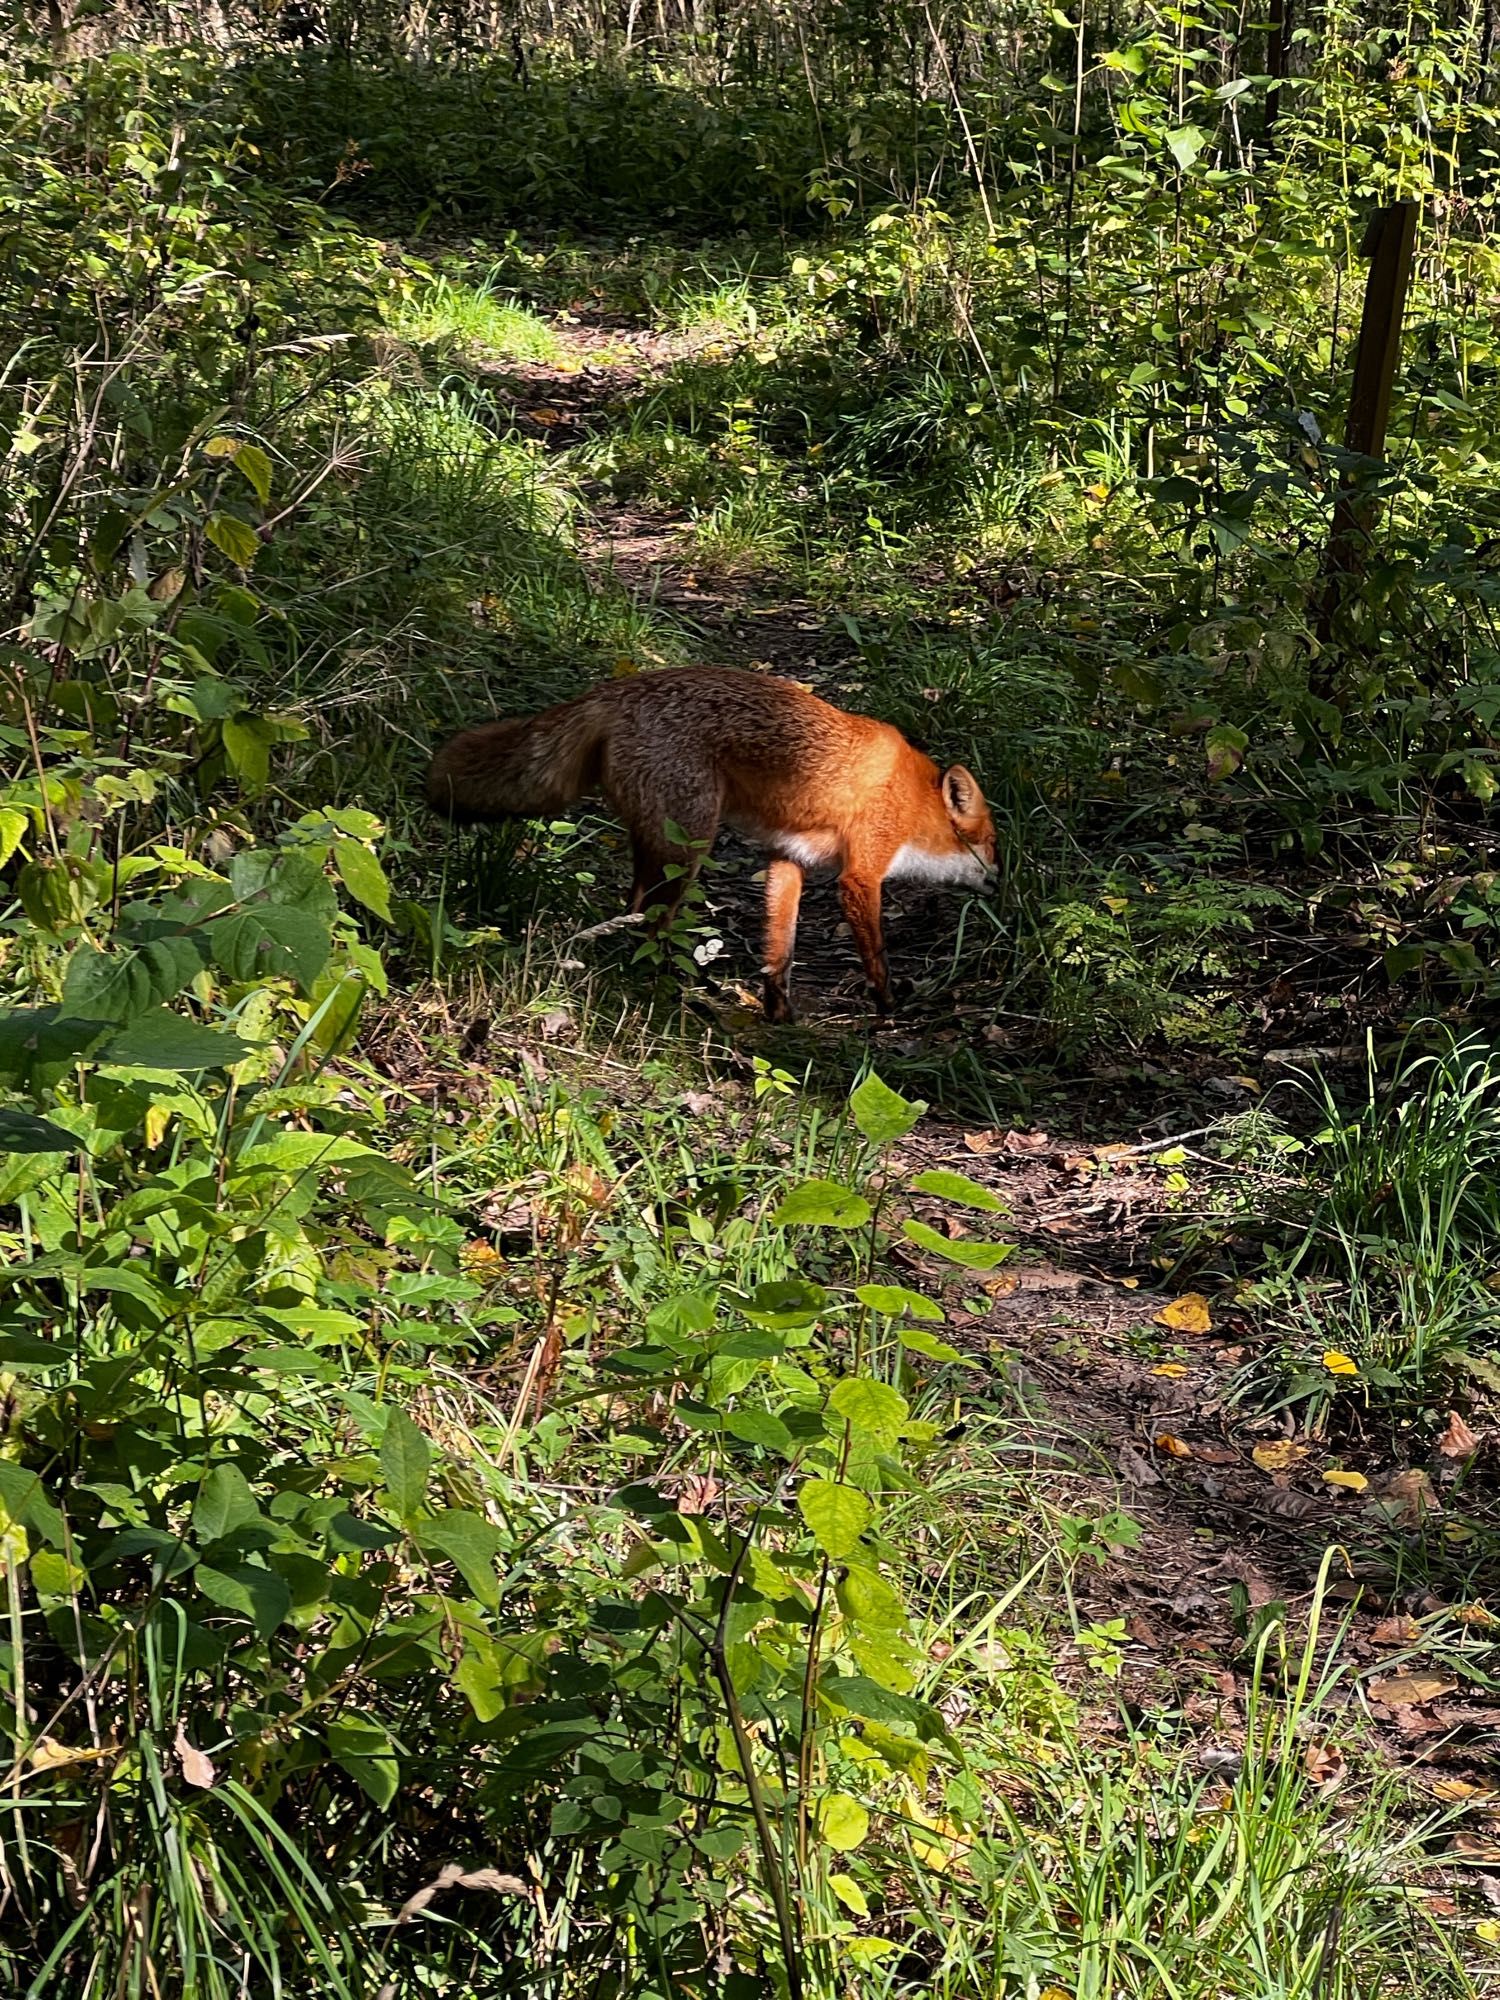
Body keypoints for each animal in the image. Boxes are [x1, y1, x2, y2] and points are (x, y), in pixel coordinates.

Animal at [426, 668, 1000, 1024]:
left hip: (659, 847)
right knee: (651, 925)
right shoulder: (860, 874)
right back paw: (664, 991)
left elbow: (779, 951)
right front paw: (887, 1007)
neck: (914, 801)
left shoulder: (788, 860)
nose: (1001, 883)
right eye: (993, 845)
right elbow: (876, 954)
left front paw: (778, 1012)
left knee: (634, 914)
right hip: (687, 849)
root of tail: (613, 691)